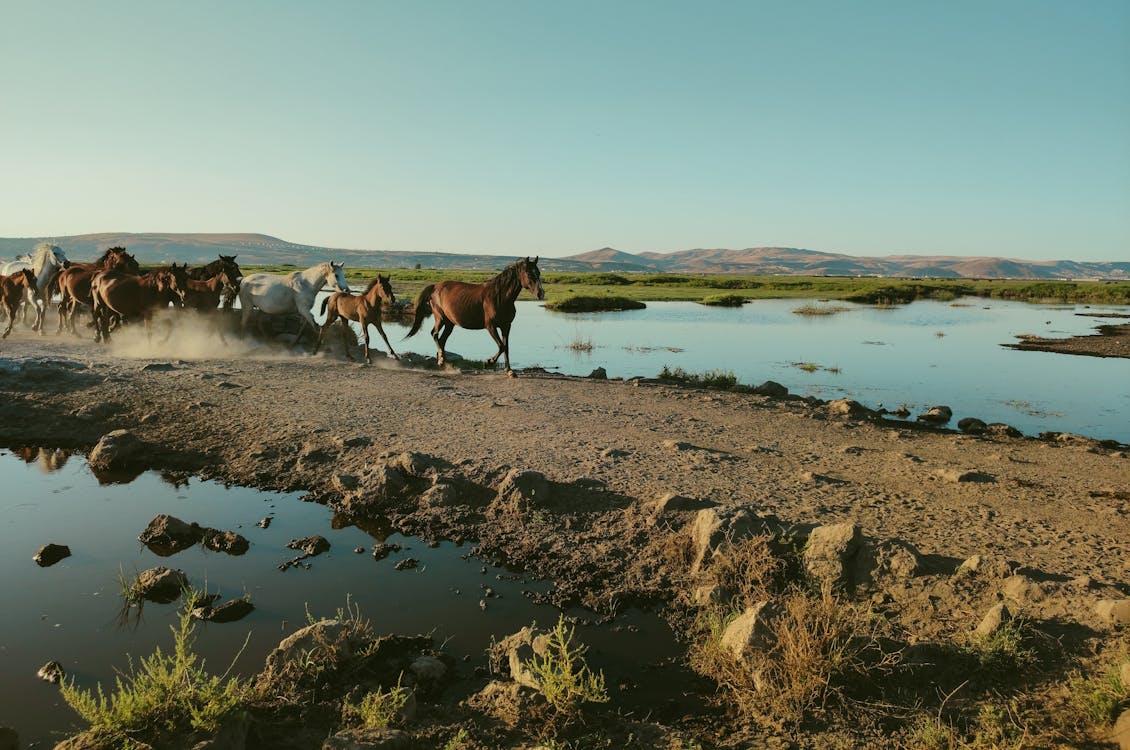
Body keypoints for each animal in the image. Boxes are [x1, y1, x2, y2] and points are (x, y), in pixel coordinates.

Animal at [404, 256, 544, 372]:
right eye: (528, 273)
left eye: (538, 272)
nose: (541, 293)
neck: (500, 297)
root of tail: (435, 287)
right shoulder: (491, 326)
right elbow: (501, 346)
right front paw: (488, 362)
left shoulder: (506, 326)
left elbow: (506, 347)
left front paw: (509, 370)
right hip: (440, 318)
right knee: (434, 334)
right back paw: (441, 360)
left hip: (450, 323)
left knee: (442, 339)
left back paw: (444, 362)